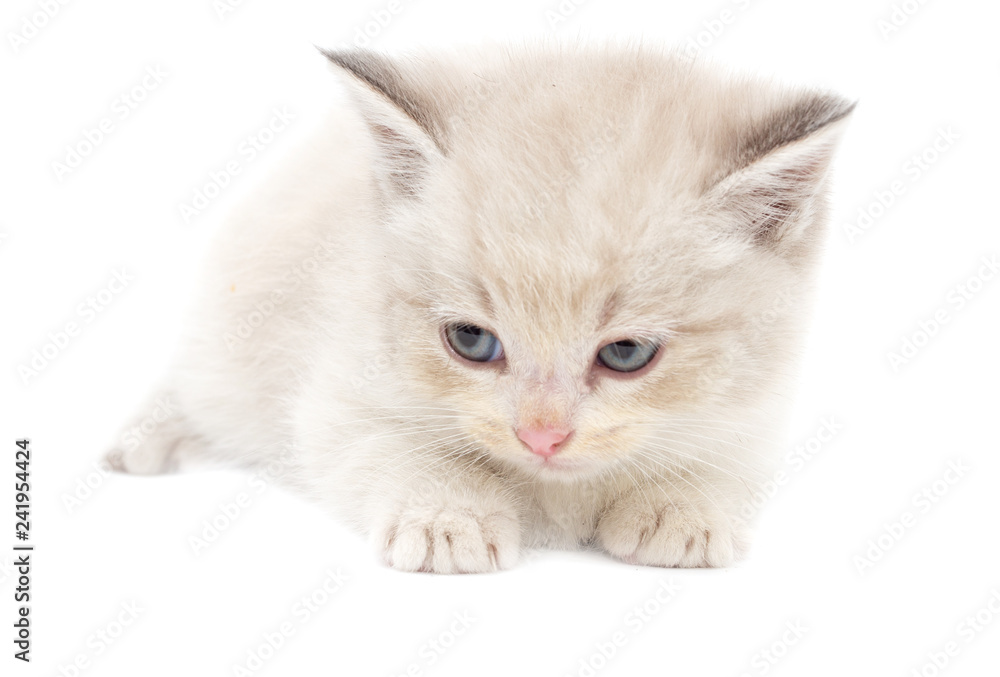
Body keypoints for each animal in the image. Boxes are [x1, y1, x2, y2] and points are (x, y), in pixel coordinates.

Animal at [107, 43, 852, 572]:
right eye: (471, 341)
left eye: (627, 354)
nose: (542, 437)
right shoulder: (337, 394)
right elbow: (397, 448)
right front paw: (447, 519)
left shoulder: (756, 411)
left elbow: (719, 458)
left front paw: (680, 510)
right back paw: (139, 444)